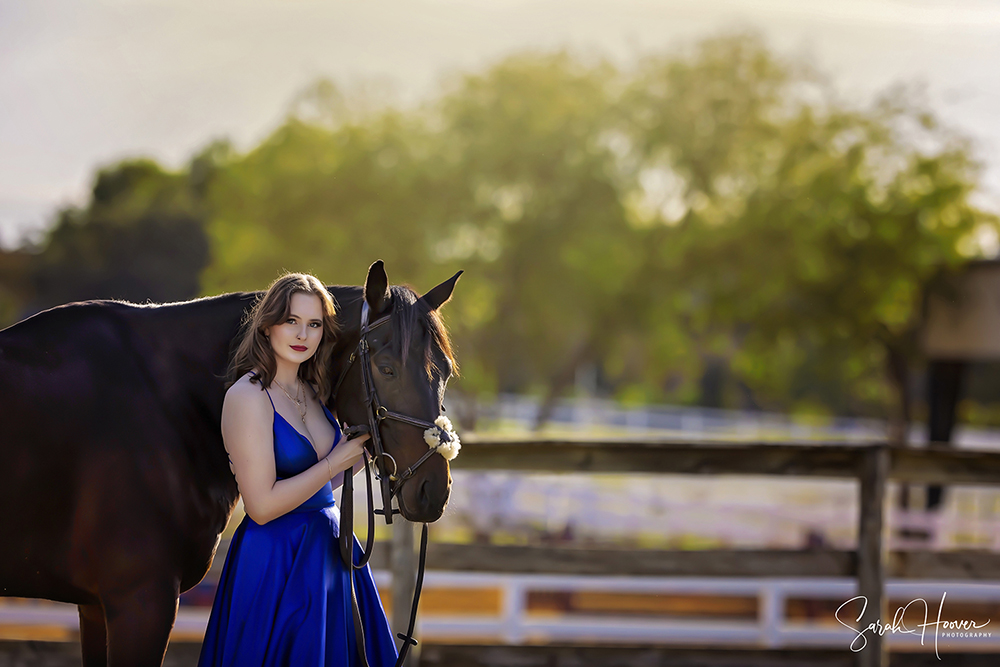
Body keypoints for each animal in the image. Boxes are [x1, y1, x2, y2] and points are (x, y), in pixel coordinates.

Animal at [0, 262, 458, 667]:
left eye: (447, 373)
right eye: (387, 369)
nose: (433, 491)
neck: (164, 398)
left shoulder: (95, 605)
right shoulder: (139, 599)